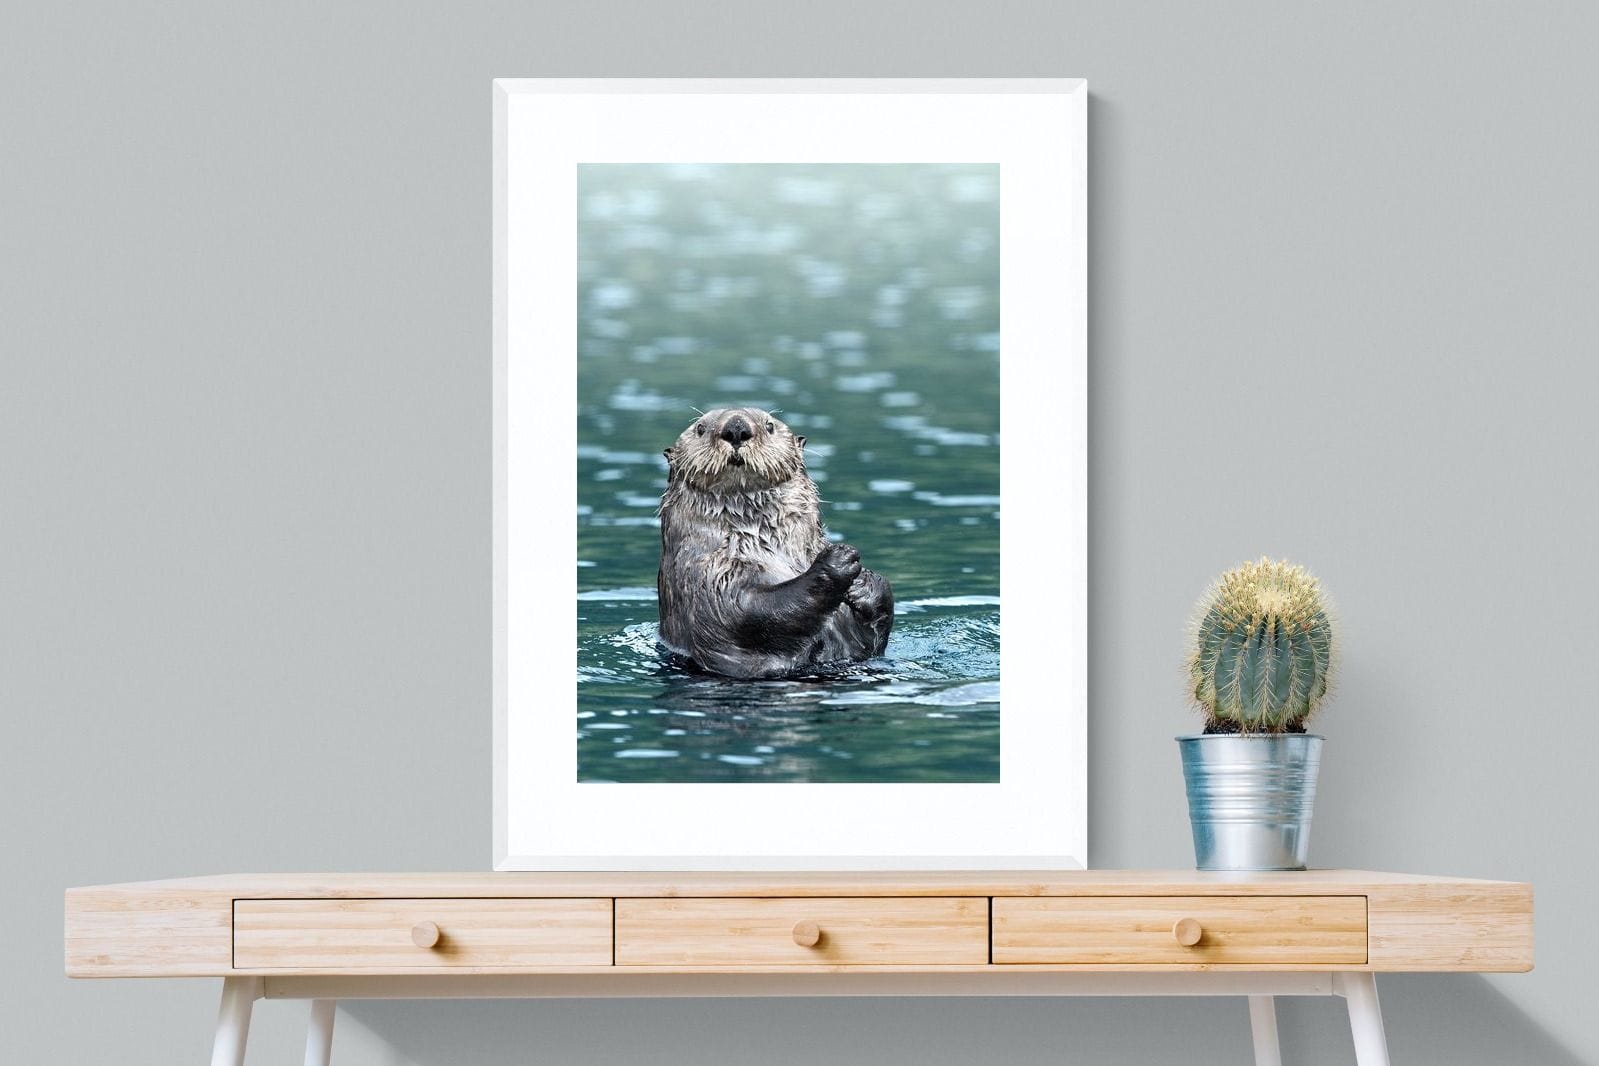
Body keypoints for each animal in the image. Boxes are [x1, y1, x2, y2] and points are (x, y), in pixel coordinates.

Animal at [657, 407, 894, 679]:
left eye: (769, 425)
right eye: (700, 428)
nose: (736, 428)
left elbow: (871, 642)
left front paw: (865, 583)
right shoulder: (707, 577)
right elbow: (749, 611)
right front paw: (838, 559)